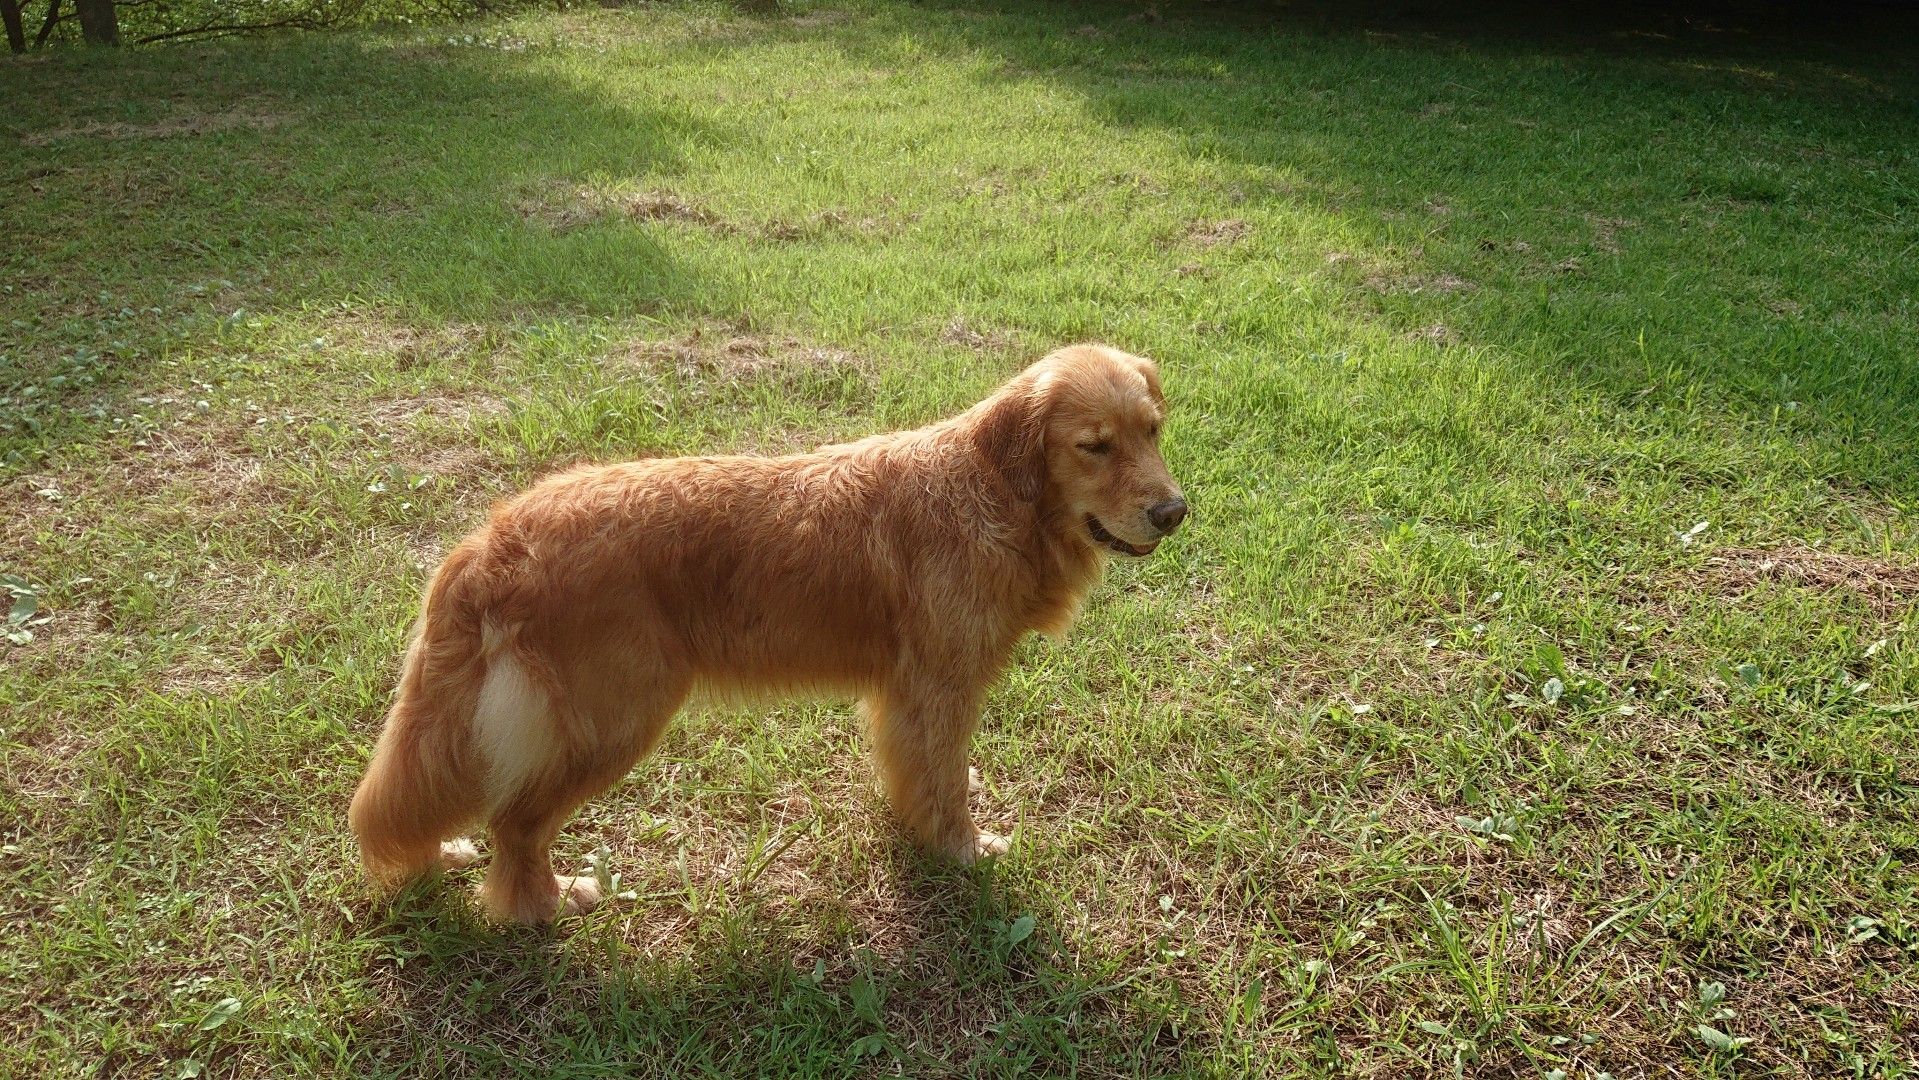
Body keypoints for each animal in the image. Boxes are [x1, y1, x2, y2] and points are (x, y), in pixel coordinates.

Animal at [347, 345, 1182, 920]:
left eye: (1152, 431)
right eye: (1094, 445)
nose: (1173, 512)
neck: (990, 492)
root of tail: (491, 539)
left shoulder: (905, 698)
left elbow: (923, 776)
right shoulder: (937, 687)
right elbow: (942, 786)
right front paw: (963, 852)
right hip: (612, 721)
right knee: (514, 823)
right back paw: (543, 906)